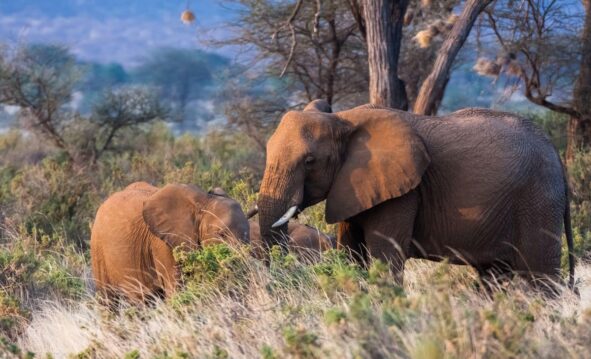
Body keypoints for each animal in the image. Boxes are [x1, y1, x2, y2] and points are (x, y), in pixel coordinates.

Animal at [256, 99, 576, 290]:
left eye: (309, 161)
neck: (341, 119)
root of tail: (556, 155)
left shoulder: (403, 193)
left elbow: (385, 260)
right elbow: (351, 255)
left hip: (538, 199)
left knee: (540, 278)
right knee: (493, 276)